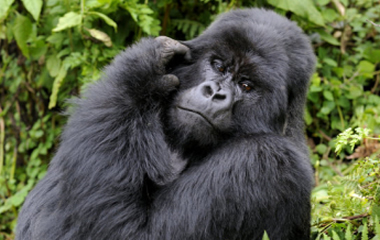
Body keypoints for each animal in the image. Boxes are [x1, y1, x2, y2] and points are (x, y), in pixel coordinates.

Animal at [16, 7, 314, 240]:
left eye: (247, 85)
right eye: (219, 66)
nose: (215, 93)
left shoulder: (265, 160)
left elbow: (132, 234)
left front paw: (139, 73)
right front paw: (148, 68)